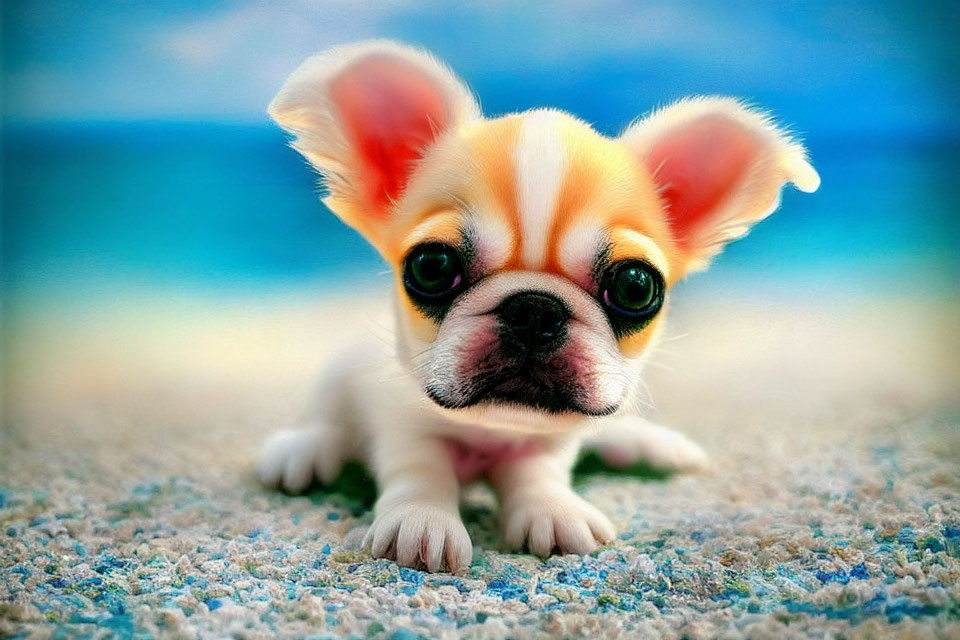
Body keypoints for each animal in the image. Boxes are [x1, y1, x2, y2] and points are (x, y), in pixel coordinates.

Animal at [256, 38, 816, 568]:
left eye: (636, 286)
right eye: (431, 266)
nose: (534, 308)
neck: (494, 428)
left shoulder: (553, 440)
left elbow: (538, 470)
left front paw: (552, 508)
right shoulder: (400, 418)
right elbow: (420, 466)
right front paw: (420, 519)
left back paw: (647, 443)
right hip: (338, 378)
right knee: (328, 419)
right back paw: (304, 449)